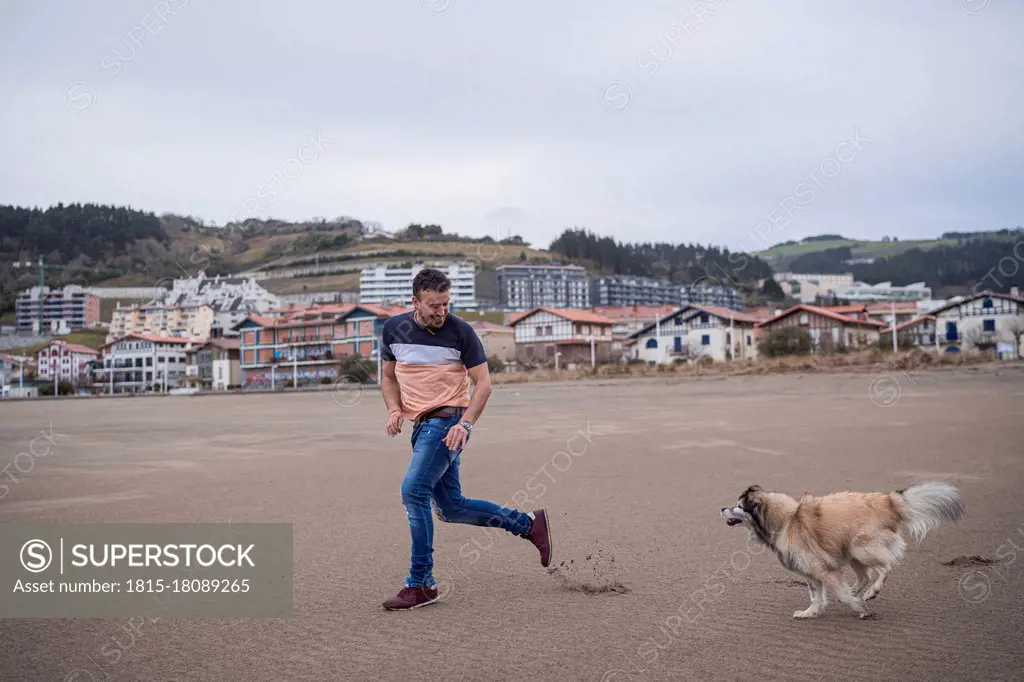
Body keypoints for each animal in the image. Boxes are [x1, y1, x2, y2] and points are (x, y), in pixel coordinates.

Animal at [720, 477, 966, 614]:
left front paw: (859, 609)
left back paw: (871, 592)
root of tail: (889, 502)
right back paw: (858, 591)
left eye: (738, 506)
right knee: (865, 576)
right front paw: (810, 613)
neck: (787, 520)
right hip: (852, 552)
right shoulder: (812, 573)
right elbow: (817, 596)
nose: (722, 508)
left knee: (884, 568)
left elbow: (838, 592)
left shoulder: (822, 569)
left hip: (861, 548)